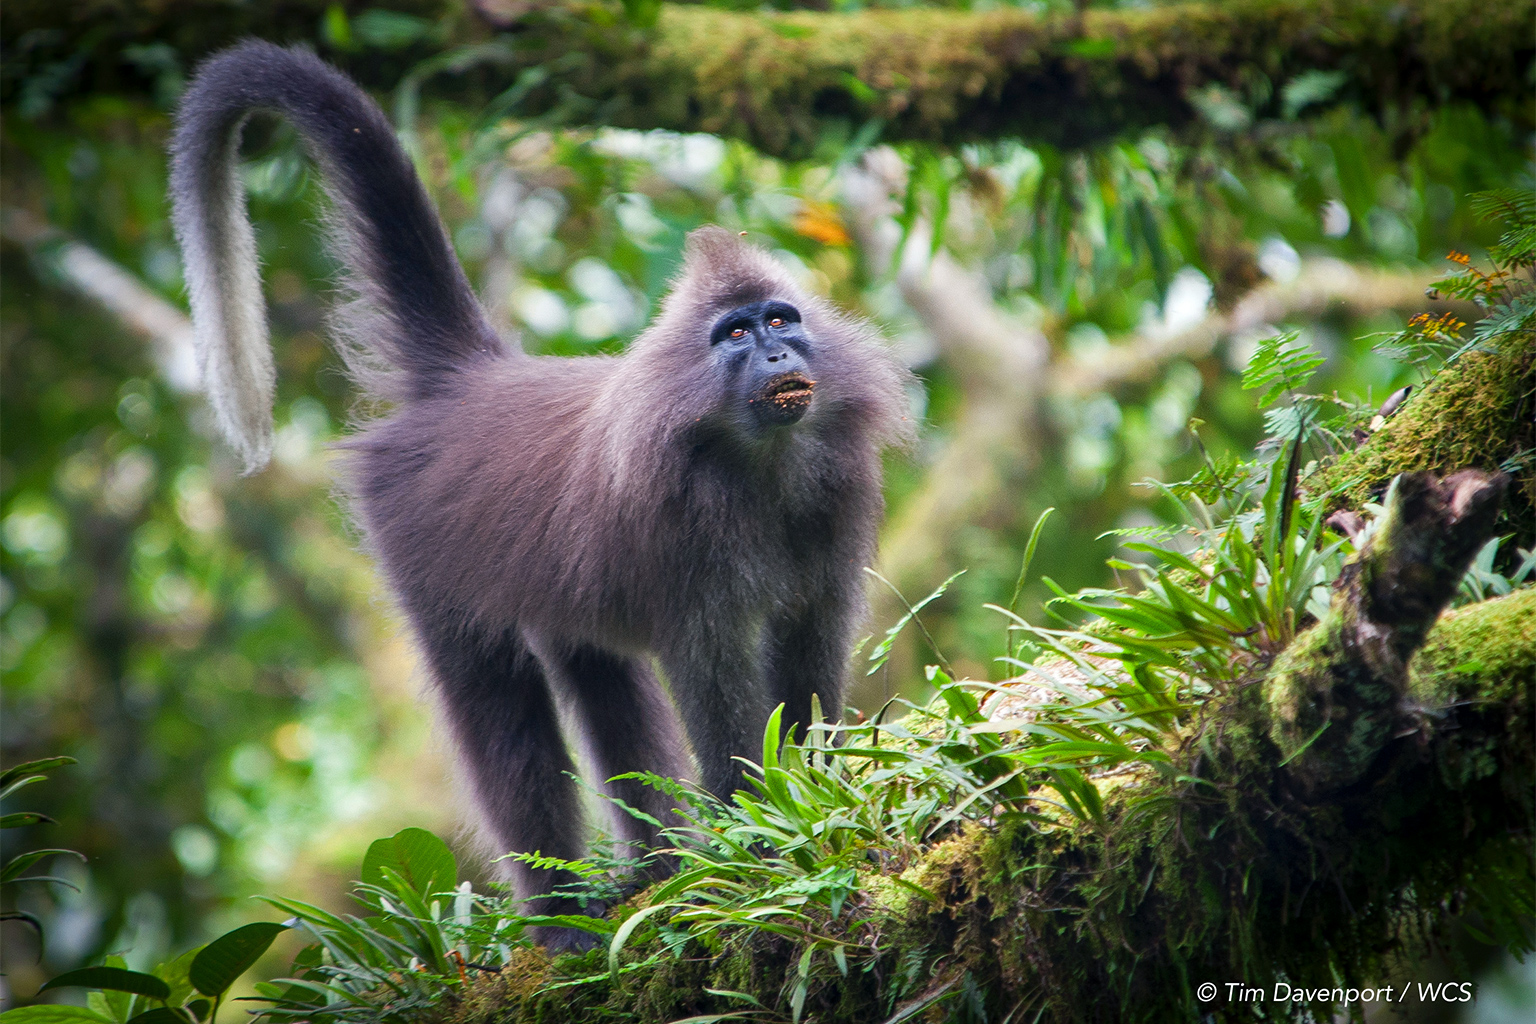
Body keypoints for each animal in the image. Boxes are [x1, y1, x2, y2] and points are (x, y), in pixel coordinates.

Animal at [170, 41, 912, 948]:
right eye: (735, 335)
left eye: (781, 320)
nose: (776, 355)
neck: (756, 463)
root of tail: (467, 383)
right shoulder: (685, 552)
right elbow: (716, 683)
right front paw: (761, 839)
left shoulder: (837, 508)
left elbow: (807, 656)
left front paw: (813, 805)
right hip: (423, 545)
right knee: (495, 703)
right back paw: (561, 919)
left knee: (597, 675)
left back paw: (654, 870)